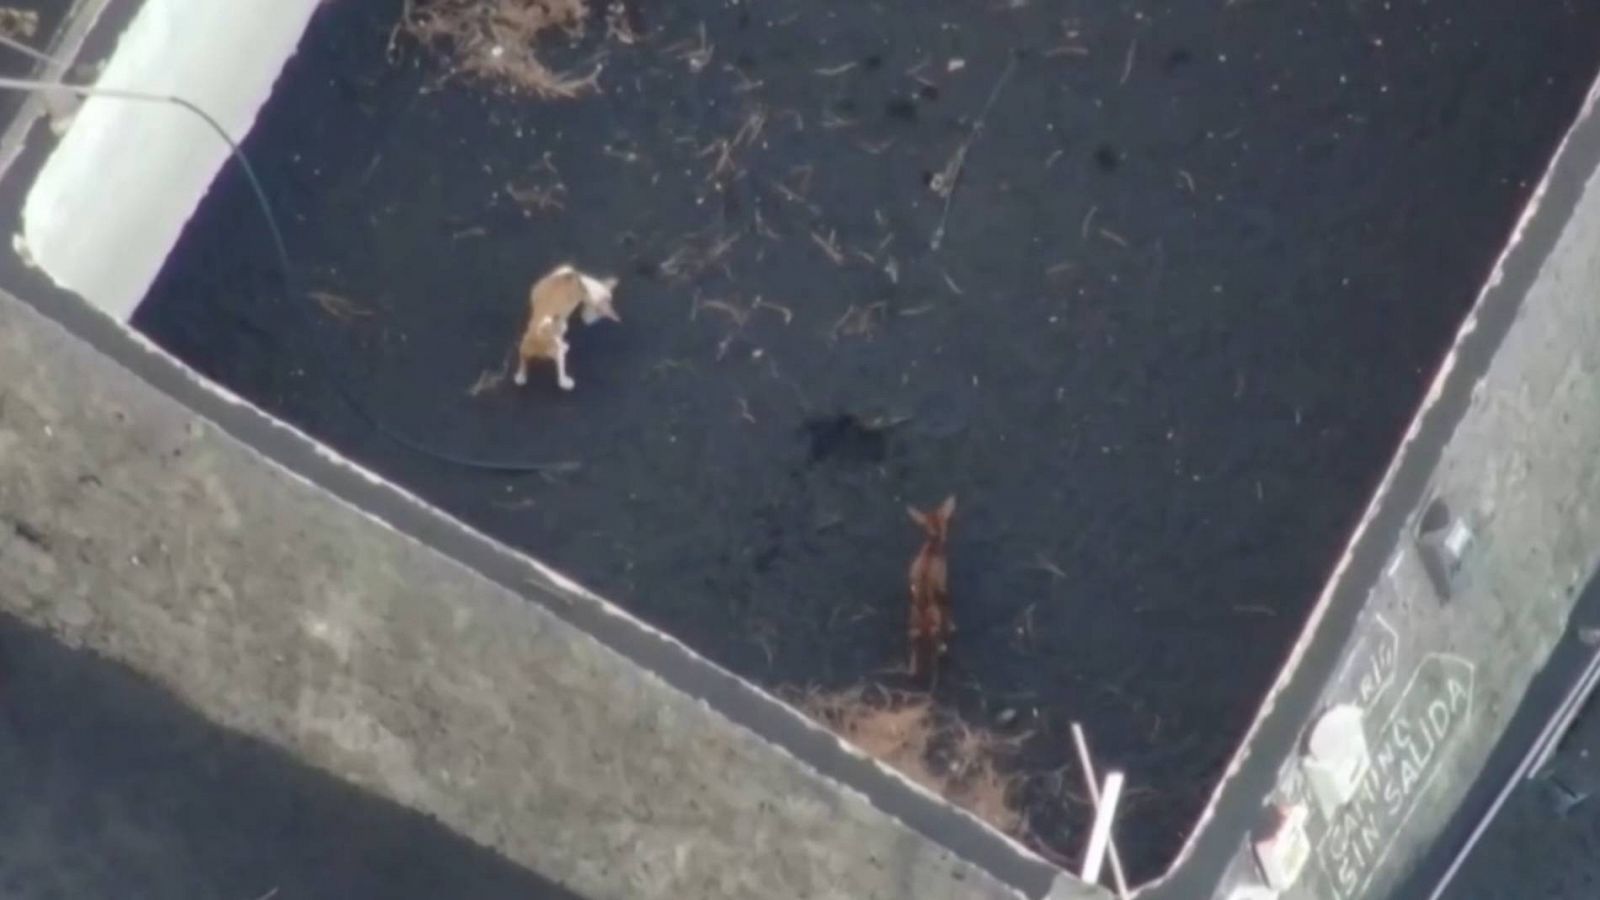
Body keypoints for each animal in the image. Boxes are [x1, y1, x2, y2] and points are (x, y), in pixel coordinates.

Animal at [515, 259, 620, 389]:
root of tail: (539, 338)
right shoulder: (589, 310)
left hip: (526, 345)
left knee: (522, 358)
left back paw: (521, 375)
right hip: (558, 341)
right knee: (560, 375)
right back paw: (565, 377)